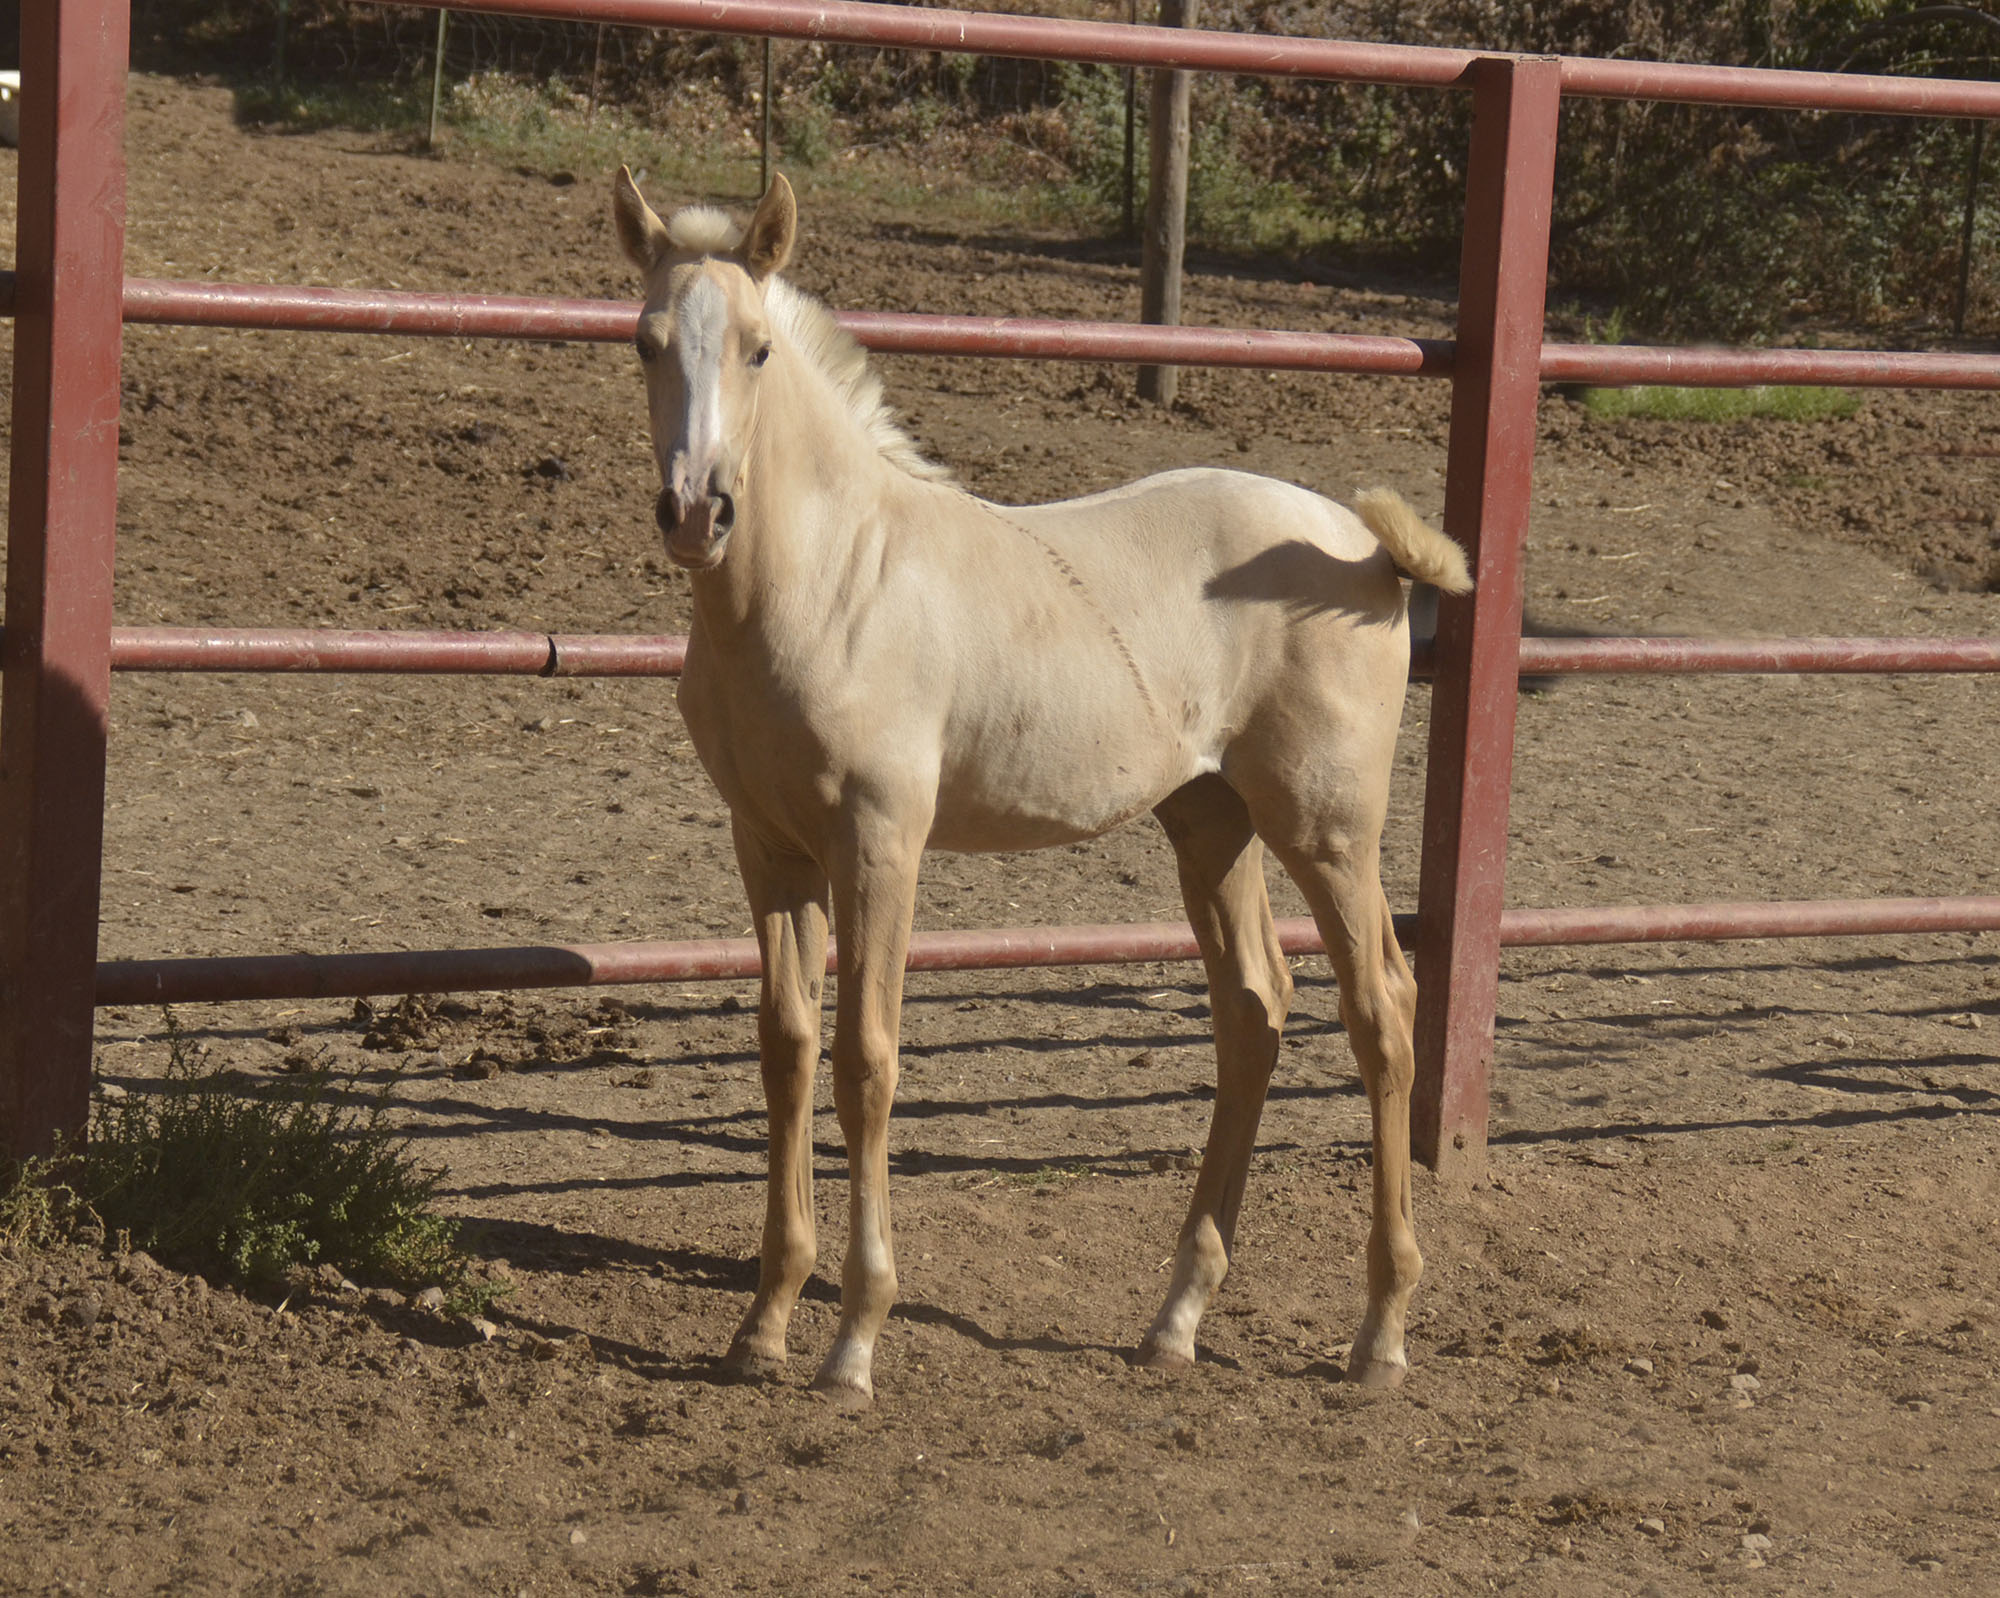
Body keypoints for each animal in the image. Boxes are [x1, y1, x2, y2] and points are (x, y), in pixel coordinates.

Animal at [608, 169, 1472, 1408]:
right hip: (1209, 820)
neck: (831, 578)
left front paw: (853, 1339)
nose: (696, 512)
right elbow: (786, 1049)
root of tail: (1360, 543)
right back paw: (1173, 1319)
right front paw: (762, 1323)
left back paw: (1380, 1331)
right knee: (1251, 1010)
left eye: (759, 348)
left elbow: (865, 1058)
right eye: (642, 342)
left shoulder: (880, 838)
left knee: (1381, 1011)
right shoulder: (767, 846)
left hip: (1326, 827)